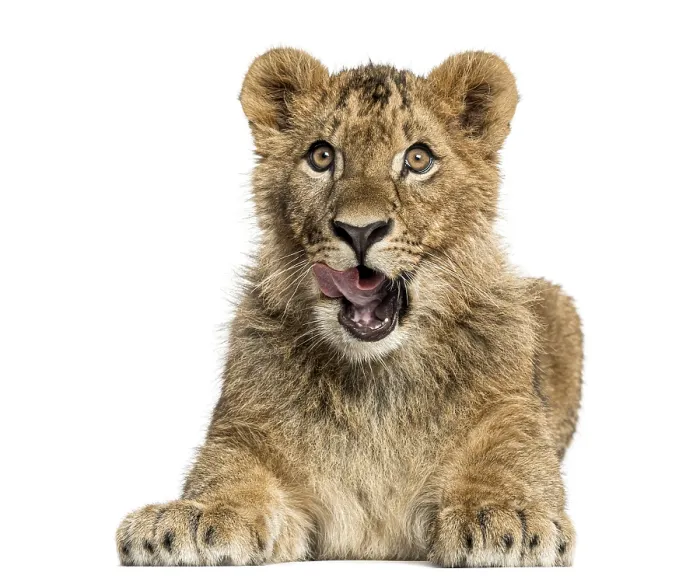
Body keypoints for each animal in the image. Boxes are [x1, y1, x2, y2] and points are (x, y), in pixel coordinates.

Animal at [116, 48, 583, 567]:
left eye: (418, 158)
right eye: (322, 156)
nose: (360, 230)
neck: (374, 380)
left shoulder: (509, 419)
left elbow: (506, 470)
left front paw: (503, 516)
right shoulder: (244, 436)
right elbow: (230, 483)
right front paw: (192, 519)